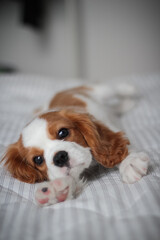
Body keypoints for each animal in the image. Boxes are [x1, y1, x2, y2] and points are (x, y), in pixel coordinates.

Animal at [1, 83, 149, 205]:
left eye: (63, 132)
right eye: (38, 159)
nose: (59, 157)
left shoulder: (112, 132)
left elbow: (121, 147)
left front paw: (129, 163)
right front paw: (53, 190)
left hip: (98, 91)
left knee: (112, 88)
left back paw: (130, 89)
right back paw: (127, 104)